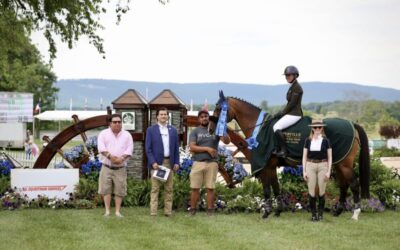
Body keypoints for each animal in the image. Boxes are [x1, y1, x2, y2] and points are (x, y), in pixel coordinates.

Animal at [214, 91, 370, 220]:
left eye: (219, 109)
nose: (211, 127)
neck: (260, 128)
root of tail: (352, 124)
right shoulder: (271, 166)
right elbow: (276, 187)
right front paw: (278, 211)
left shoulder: (265, 166)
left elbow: (266, 189)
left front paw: (267, 212)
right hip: (338, 162)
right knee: (344, 185)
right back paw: (338, 211)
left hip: (344, 164)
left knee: (354, 184)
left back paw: (355, 213)